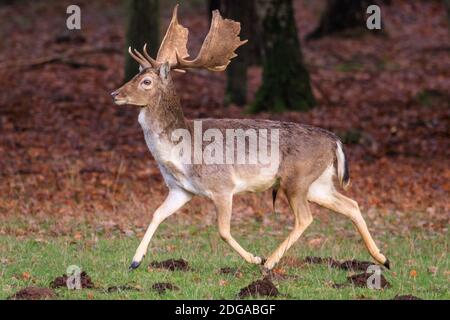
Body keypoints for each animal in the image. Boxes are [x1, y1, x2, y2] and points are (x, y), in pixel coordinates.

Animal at [110, 5, 388, 272]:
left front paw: (254, 258)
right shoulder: (181, 189)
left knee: (306, 217)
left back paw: (270, 262)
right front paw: (135, 261)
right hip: (318, 183)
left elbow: (223, 231)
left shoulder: (223, 186)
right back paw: (383, 259)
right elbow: (156, 214)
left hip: (296, 179)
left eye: (146, 81)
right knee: (351, 204)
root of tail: (335, 141)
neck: (181, 153)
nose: (115, 94)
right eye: (135, 76)